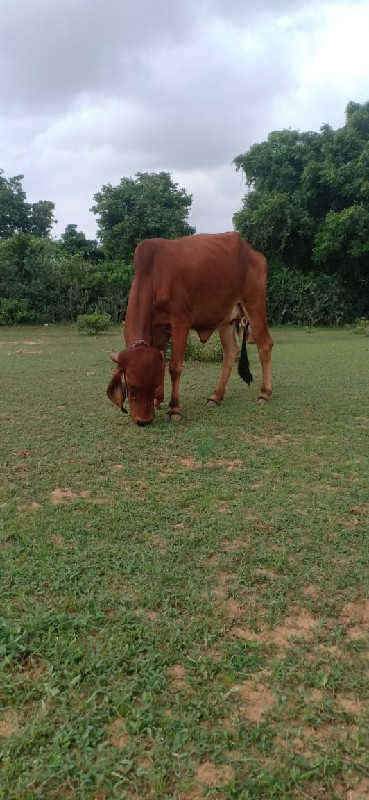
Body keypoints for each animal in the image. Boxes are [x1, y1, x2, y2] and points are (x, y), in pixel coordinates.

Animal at [106, 231, 270, 424]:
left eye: (153, 384)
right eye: (131, 386)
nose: (143, 421)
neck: (154, 275)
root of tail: (254, 253)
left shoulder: (181, 322)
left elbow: (174, 367)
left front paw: (174, 409)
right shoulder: (159, 329)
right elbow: (162, 361)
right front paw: (157, 400)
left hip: (254, 305)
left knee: (264, 345)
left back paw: (264, 393)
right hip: (226, 321)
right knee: (230, 353)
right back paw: (215, 397)